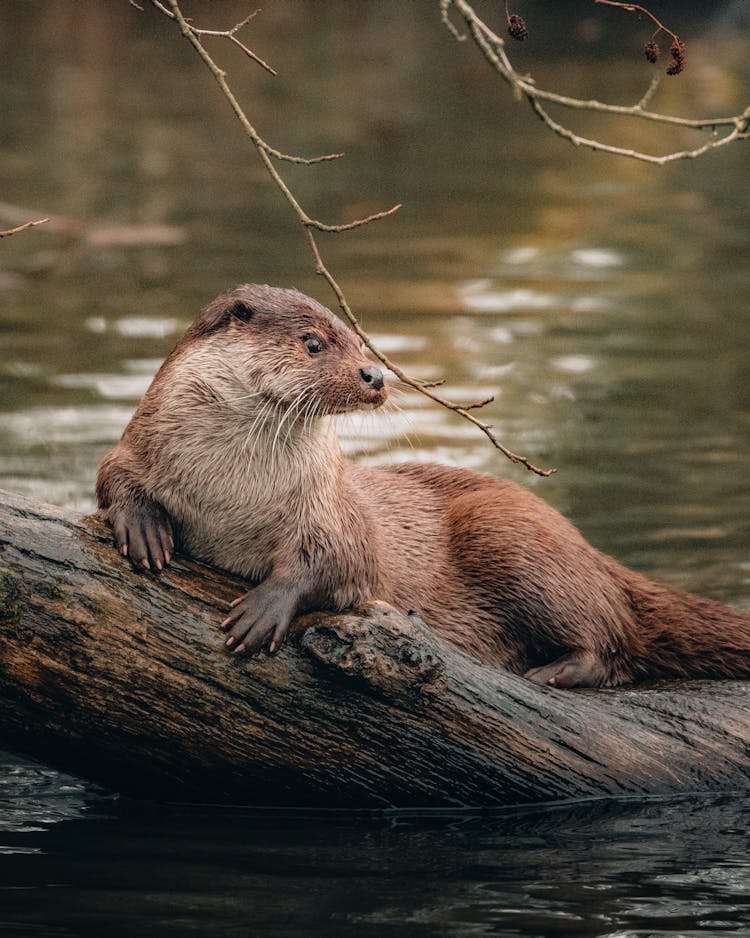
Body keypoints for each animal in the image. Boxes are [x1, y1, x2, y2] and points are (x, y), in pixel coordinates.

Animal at [97, 282, 750, 684]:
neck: (231, 491)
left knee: (615, 640)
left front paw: (264, 607)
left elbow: (340, 561)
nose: (374, 374)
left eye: (357, 340)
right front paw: (143, 527)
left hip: (514, 535)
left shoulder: (333, 510)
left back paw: (558, 671)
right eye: (314, 343)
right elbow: (111, 473)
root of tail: (590, 552)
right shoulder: (139, 444)